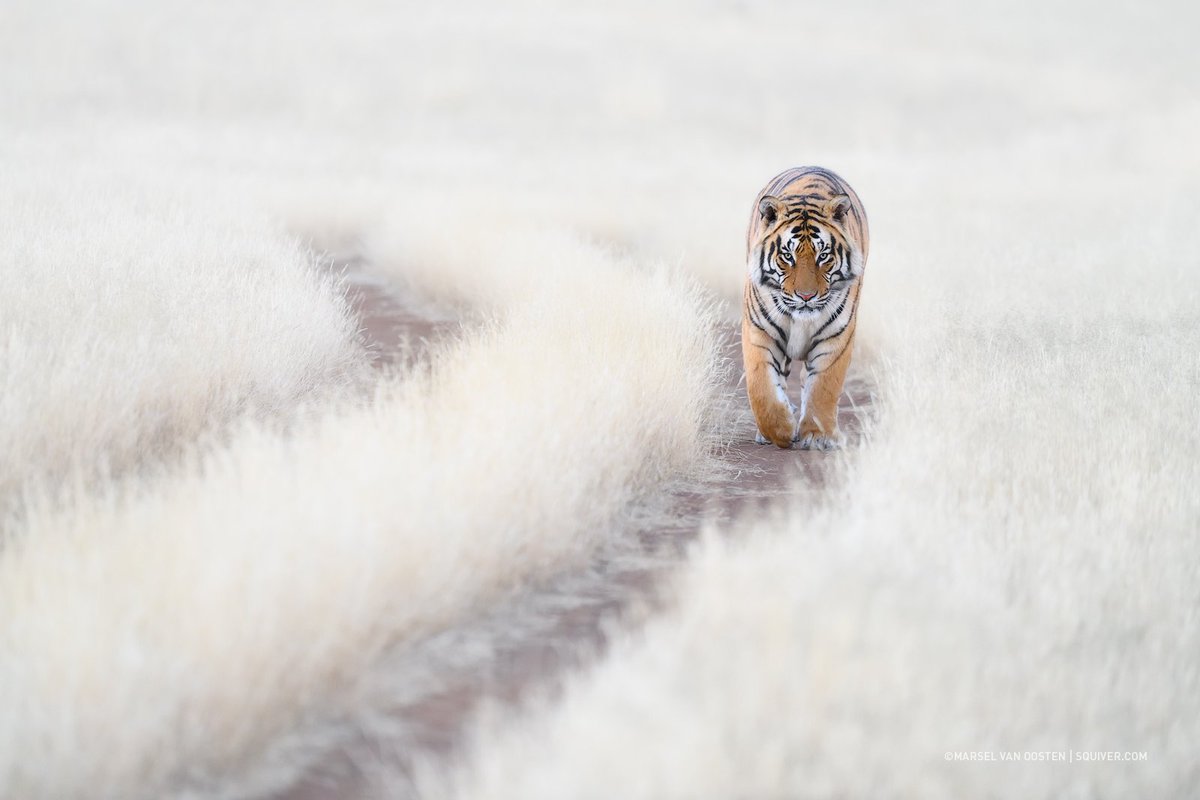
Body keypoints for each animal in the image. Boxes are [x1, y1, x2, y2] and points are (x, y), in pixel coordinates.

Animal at [742, 166, 869, 450]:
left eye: (823, 256)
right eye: (787, 256)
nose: (806, 296)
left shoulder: (836, 337)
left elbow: (823, 387)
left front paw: (817, 436)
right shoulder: (760, 332)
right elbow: (762, 389)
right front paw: (780, 431)